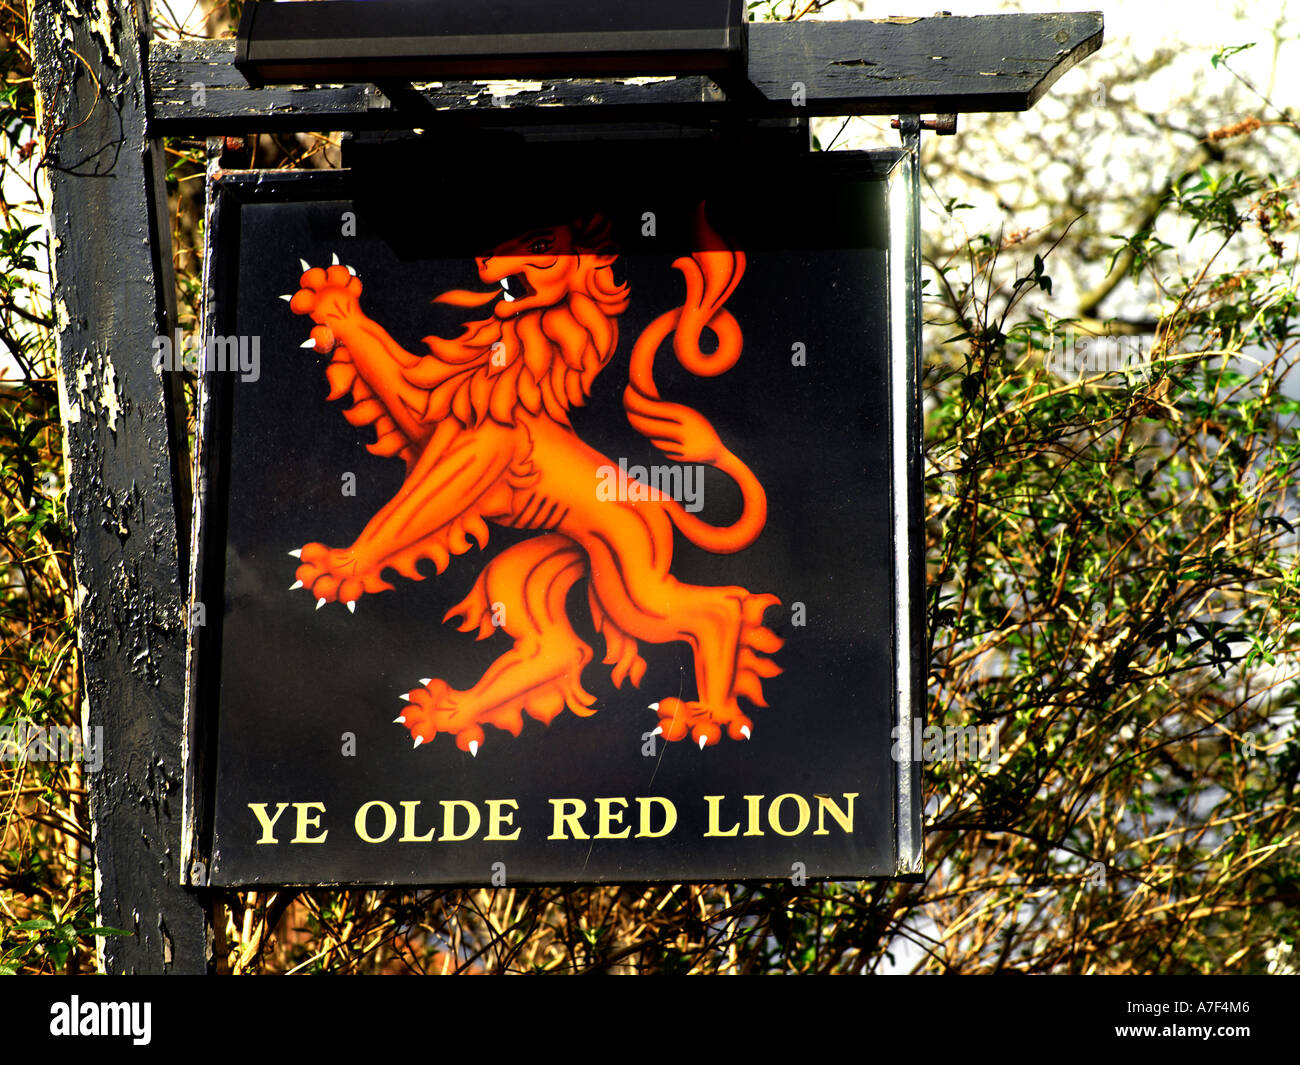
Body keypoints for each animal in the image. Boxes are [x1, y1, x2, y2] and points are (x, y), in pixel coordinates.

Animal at [287, 206, 780, 759]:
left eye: (543, 245)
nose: (481, 256)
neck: (512, 363)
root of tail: (660, 498)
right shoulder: (427, 416)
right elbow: (383, 361)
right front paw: (332, 299)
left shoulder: (471, 464)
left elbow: (402, 517)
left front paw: (338, 567)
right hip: (531, 569)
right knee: (560, 651)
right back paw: (449, 712)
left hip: (632, 586)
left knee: (718, 609)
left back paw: (707, 716)